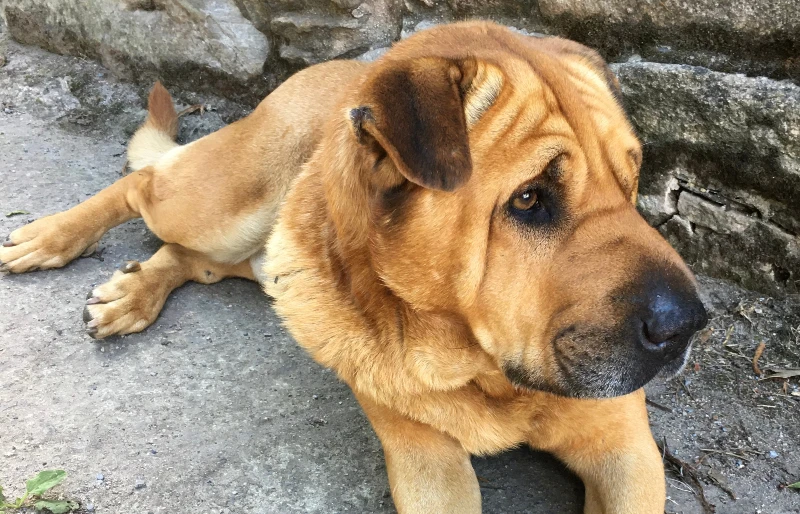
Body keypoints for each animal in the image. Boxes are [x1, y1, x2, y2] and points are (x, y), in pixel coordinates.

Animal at [3, 21, 708, 512]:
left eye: (630, 181)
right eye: (530, 198)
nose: (689, 326)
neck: (484, 372)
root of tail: (336, 69)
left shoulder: (626, 451)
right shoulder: (428, 461)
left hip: (261, 257)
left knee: (194, 261)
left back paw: (133, 291)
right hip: (221, 203)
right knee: (142, 184)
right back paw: (46, 237)